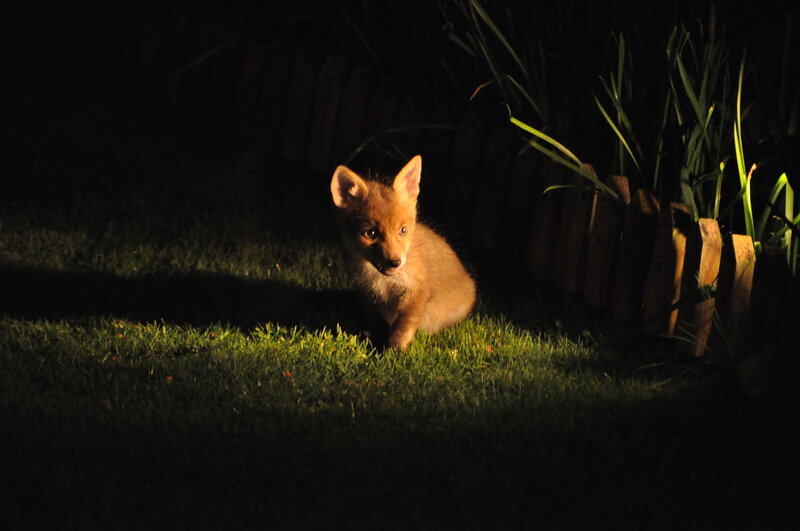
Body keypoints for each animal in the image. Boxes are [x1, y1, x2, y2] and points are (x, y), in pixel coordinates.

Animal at [330, 155, 476, 351]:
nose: (395, 262)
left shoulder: (417, 291)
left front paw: (394, 351)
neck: (382, 281)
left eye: (403, 230)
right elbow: (377, 323)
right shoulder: (368, 293)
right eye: (370, 233)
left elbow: (402, 327)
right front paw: (374, 341)